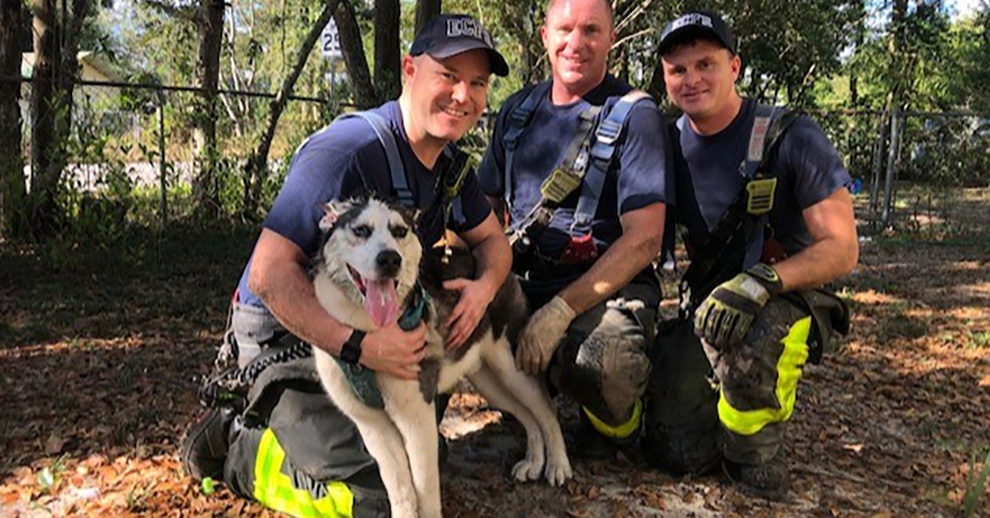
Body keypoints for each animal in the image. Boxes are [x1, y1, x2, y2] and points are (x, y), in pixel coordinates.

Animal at [310, 197, 572, 518]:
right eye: (360, 230)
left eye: (399, 230)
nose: (390, 260)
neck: (369, 332)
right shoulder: (372, 425)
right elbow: (400, 488)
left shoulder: (417, 417)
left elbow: (424, 488)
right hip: (489, 382)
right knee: (527, 415)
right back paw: (534, 462)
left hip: (513, 368)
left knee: (546, 410)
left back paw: (558, 465)